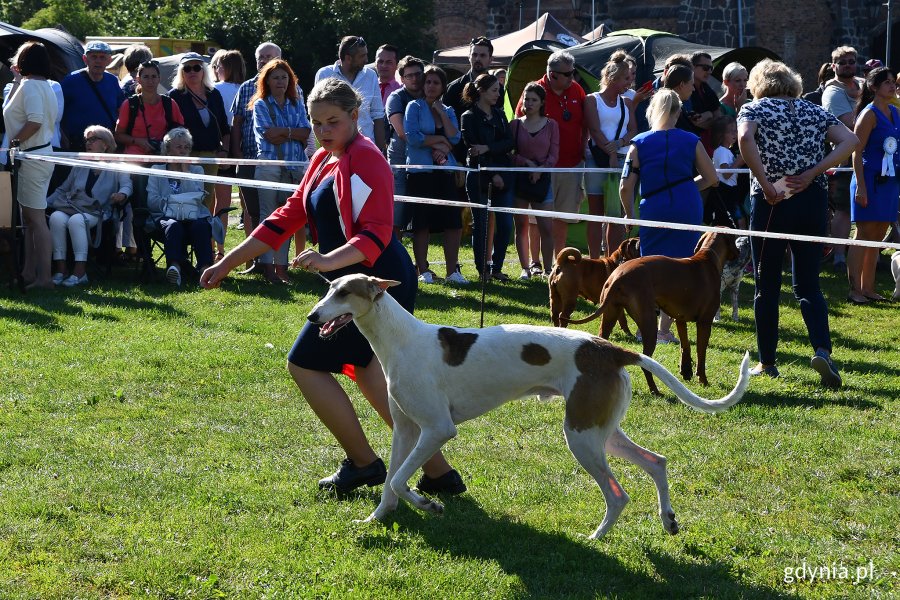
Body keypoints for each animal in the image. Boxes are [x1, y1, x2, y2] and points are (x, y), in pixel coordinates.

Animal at [568, 230, 740, 394]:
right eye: (735, 237)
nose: (739, 252)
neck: (707, 257)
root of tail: (618, 276)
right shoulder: (705, 322)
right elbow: (701, 353)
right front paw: (703, 379)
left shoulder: (680, 319)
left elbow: (685, 346)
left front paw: (686, 371)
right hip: (649, 323)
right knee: (646, 361)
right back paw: (655, 390)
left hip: (611, 315)